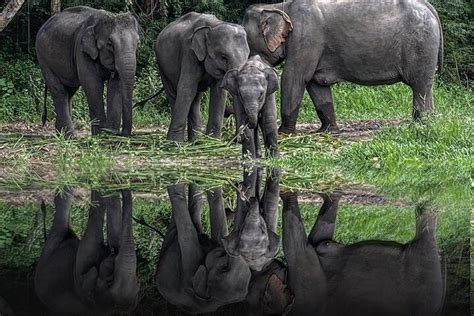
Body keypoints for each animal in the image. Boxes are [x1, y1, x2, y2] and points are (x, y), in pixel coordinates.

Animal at [36, 6, 139, 136]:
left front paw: (109, 133)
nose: (123, 134)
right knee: (58, 90)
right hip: (44, 58)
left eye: (138, 43)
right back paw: (70, 135)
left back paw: (61, 133)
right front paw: (101, 135)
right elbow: (93, 85)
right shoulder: (82, 51)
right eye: (110, 44)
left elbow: (116, 85)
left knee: (69, 91)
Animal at [156, 11, 252, 141]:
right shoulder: (189, 53)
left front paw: (214, 140)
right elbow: (186, 89)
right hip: (162, 66)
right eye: (223, 57)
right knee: (174, 94)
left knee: (196, 98)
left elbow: (219, 93)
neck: (214, 25)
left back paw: (196, 140)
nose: (237, 139)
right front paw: (174, 143)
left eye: (248, 55)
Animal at [244, 0, 444, 133]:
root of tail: (429, 7)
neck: (279, 6)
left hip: (421, 44)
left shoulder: (305, 37)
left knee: (419, 85)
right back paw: (428, 121)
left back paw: (420, 123)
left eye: (246, 38)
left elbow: (294, 77)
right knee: (425, 86)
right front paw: (327, 131)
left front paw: (284, 133)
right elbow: (316, 85)